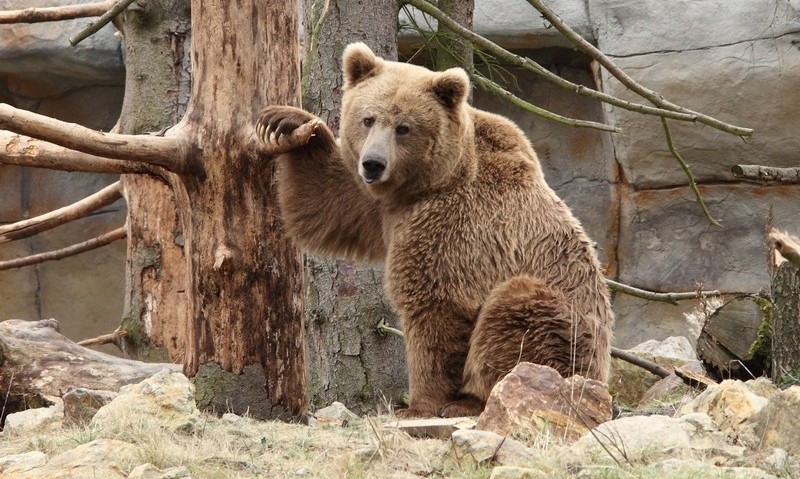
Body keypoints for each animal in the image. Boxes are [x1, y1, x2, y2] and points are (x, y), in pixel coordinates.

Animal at [256, 44, 612, 420]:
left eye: (404, 127)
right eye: (368, 119)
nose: (373, 164)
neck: (431, 182)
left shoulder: (454, 226)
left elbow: (435, 307)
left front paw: (419, 405)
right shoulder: (385, 207)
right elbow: (331, 197)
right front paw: (287, 123)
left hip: (568, 329)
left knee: (518, 315)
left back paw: (472, 399)